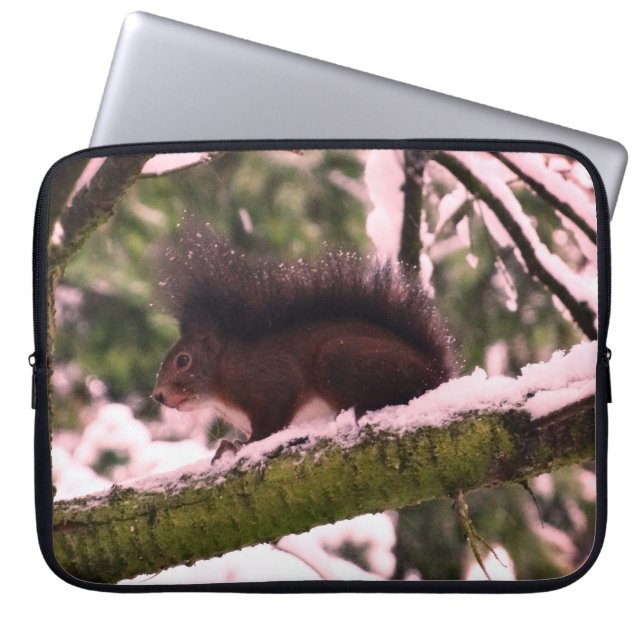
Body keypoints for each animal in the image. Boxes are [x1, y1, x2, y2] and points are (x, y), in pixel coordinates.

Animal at [152, 222, 454, 459]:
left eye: (183, 360)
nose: (158, 395)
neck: (221, 378)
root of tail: (435, 371)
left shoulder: (271, 381)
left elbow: (269, 425)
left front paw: (238, 446)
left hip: (338, 358)